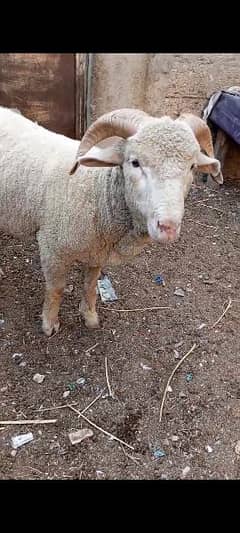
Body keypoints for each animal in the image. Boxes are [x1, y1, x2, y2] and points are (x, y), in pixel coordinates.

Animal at [0, 106, 221, 334]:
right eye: (134, 163)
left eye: (192, 166)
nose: (168, 227)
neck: (96, 191)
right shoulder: (52, 248)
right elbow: (56, 289)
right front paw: (49, 323)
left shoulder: (97, 252)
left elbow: (90, 285)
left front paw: (89, 316)